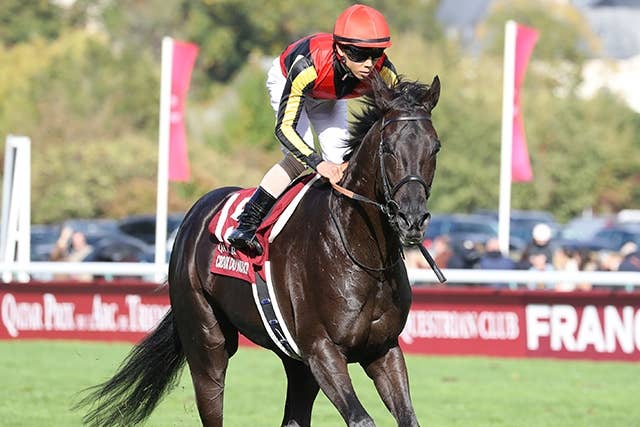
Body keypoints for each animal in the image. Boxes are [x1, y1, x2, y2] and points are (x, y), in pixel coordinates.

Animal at [77, 72, 441, 427]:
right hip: (207, 343)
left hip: (294, 361)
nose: (412, 218)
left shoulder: (382, 348)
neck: (361, 253)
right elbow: (362, 419)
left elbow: (408, 417)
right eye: (388, 147)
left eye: (435, 147)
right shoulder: (322, 349)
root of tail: (196, 213)